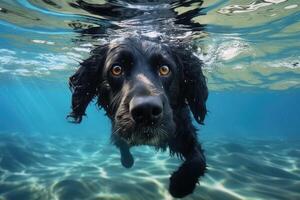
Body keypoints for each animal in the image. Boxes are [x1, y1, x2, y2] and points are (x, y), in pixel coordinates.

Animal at [67, 36, 209, 198]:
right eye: (117, 69)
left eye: (164, 69)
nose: (146, 111)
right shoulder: (118, 129)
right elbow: (121, 143)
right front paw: (127, 160)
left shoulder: (182, 131)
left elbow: (198, 159)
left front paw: (181, 184)